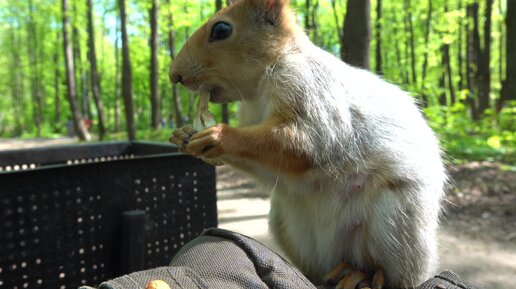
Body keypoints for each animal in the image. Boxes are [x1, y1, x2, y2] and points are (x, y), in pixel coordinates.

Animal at [167, 0, 446, 286]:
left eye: (221, 30)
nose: (174, 75)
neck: (259, 87)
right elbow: (268, 169)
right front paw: (183, 135)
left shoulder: (308, 87)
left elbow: (303, 143)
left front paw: (218, 135)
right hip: (285, 223)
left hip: (394, 219)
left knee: (387, 271)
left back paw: (362, 275)